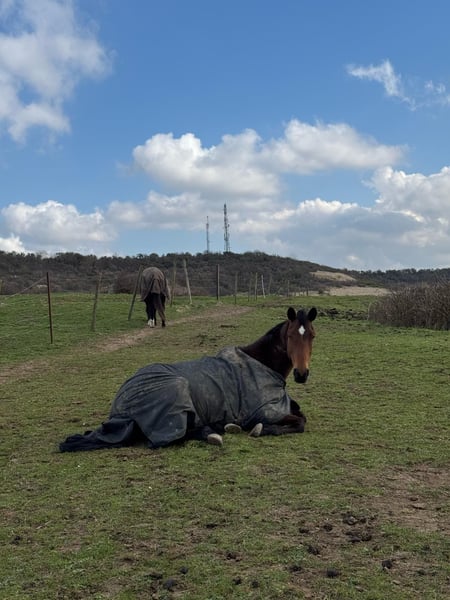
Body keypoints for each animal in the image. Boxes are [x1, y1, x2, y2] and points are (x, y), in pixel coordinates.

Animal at [59, 306, 317, 452]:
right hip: (176, 393)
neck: (260, 363)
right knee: (173, 436)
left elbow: (301, 415)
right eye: (291, 336)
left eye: (313, 336)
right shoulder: (263, 412)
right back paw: (214, 432)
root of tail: (122, 402)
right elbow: (299, 423)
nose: (301, 374)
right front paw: (260, 429)